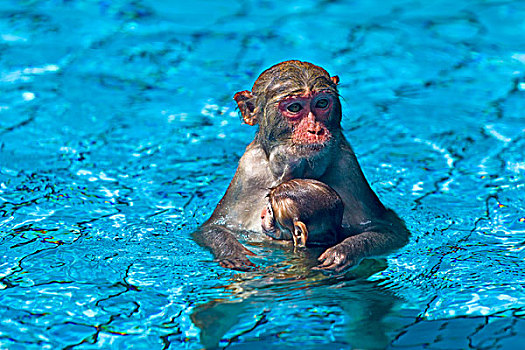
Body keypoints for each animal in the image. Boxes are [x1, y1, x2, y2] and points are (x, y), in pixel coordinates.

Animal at [193, 60, 410, 272]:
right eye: (295, 108)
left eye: (322, 103)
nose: (315, 130)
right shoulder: (249, 170)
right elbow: (214, 228)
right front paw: (233, 252)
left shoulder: (347, 165)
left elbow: (390, 230)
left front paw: (343, 251)